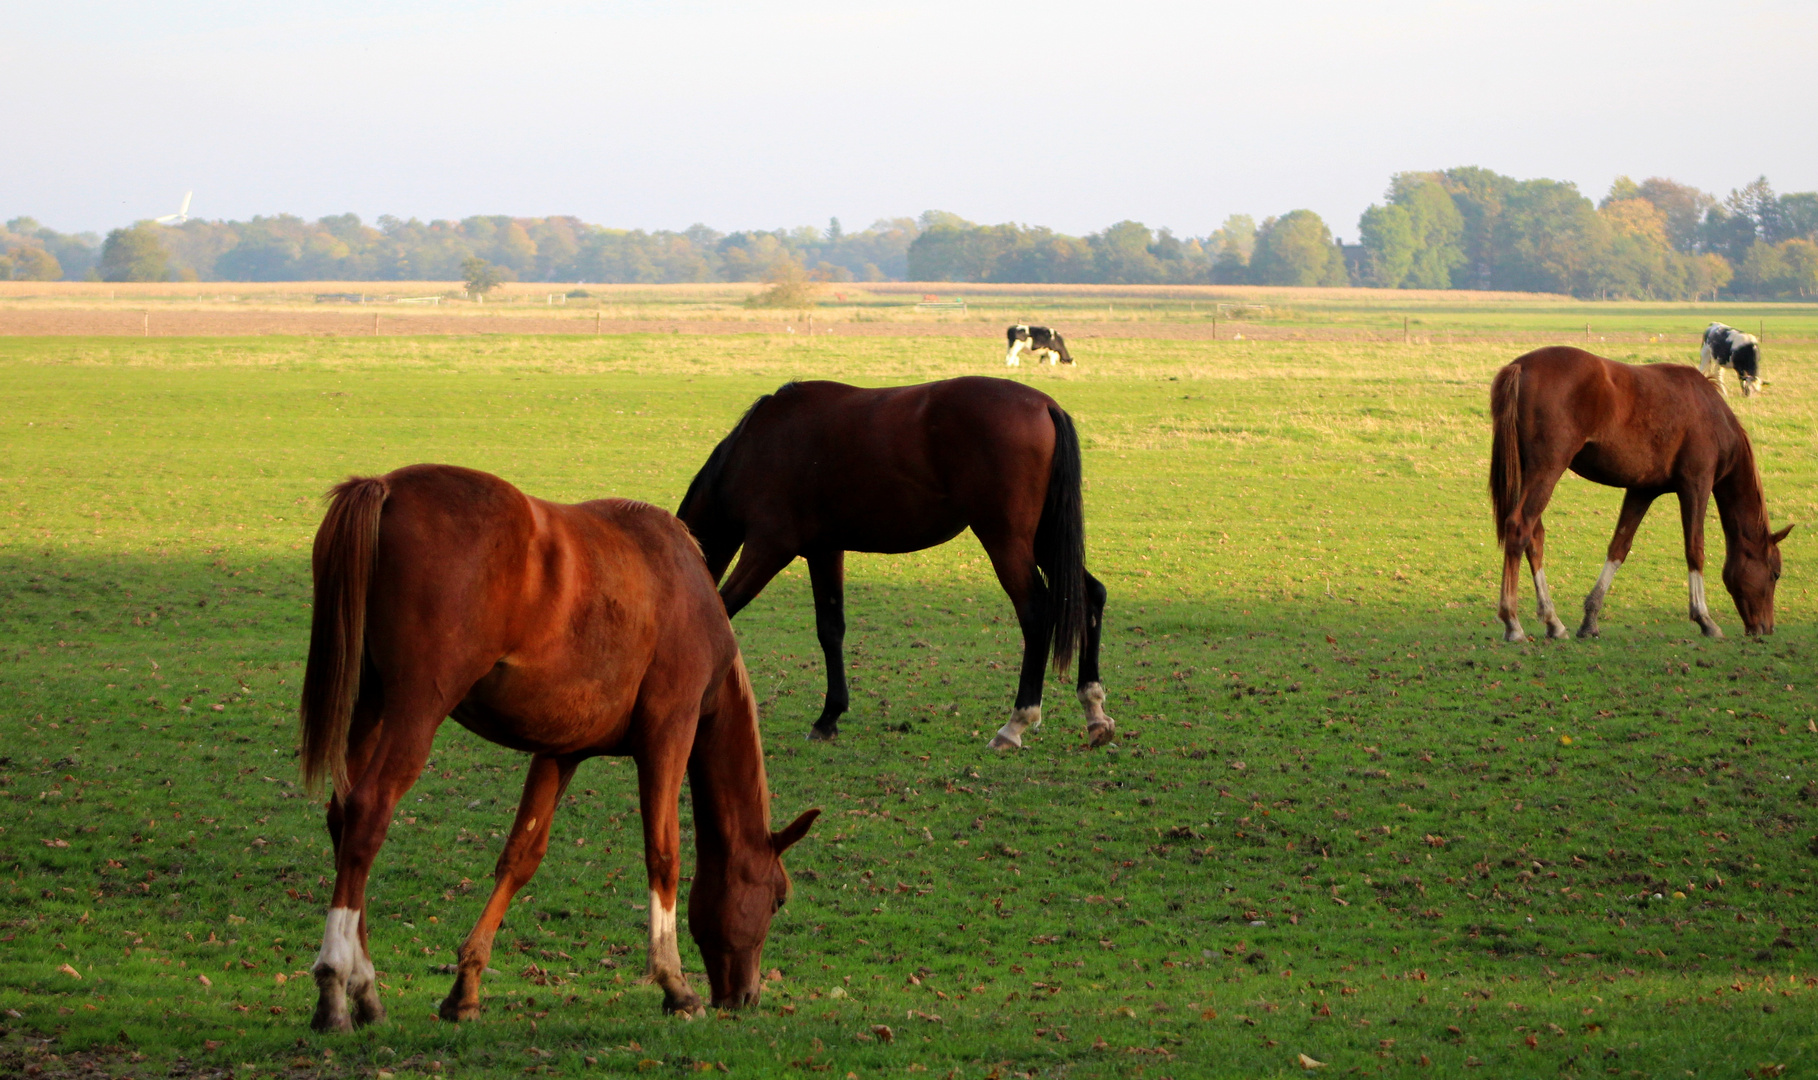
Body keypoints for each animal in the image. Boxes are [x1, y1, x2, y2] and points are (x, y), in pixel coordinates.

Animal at [296, 460, 818, 1025]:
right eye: (778, 898)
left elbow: (520, 856)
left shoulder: (561, 750)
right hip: (415, 711)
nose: (745, 996)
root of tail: (386, 487)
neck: (686, 585)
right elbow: (664, 855)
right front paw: (674, 983)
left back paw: (365, 990)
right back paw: (334, 984)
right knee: (368, 812)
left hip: (370, 706)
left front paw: (466, 988)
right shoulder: (668, 737)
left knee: (342, 815)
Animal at [679, 376, 1112, 749]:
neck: (758, 446)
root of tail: (1044, 405)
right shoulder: (824, 550)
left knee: (1036, 612)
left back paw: (1016, 723)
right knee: (1090, 595)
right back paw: (1094, 711)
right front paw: (829, 717)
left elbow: (725, 610)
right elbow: (830, 629)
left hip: (1006, 540)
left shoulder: (768, 549)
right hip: (1044, 540)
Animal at [1490, 345, 1788, 640]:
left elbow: (1619, 548)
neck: (1712, 413)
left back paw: (1553, 621)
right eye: (1775, 573)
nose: (1766, 627)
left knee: (1534, 537)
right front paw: (1704, 618)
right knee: (1520, 527)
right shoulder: (1696, 485)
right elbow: (1695, 549)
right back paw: (1512, 622)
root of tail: (1520, 366)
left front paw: (1590, 620)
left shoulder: (1642, 491)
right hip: (1547, 470)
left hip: (1531, 473)